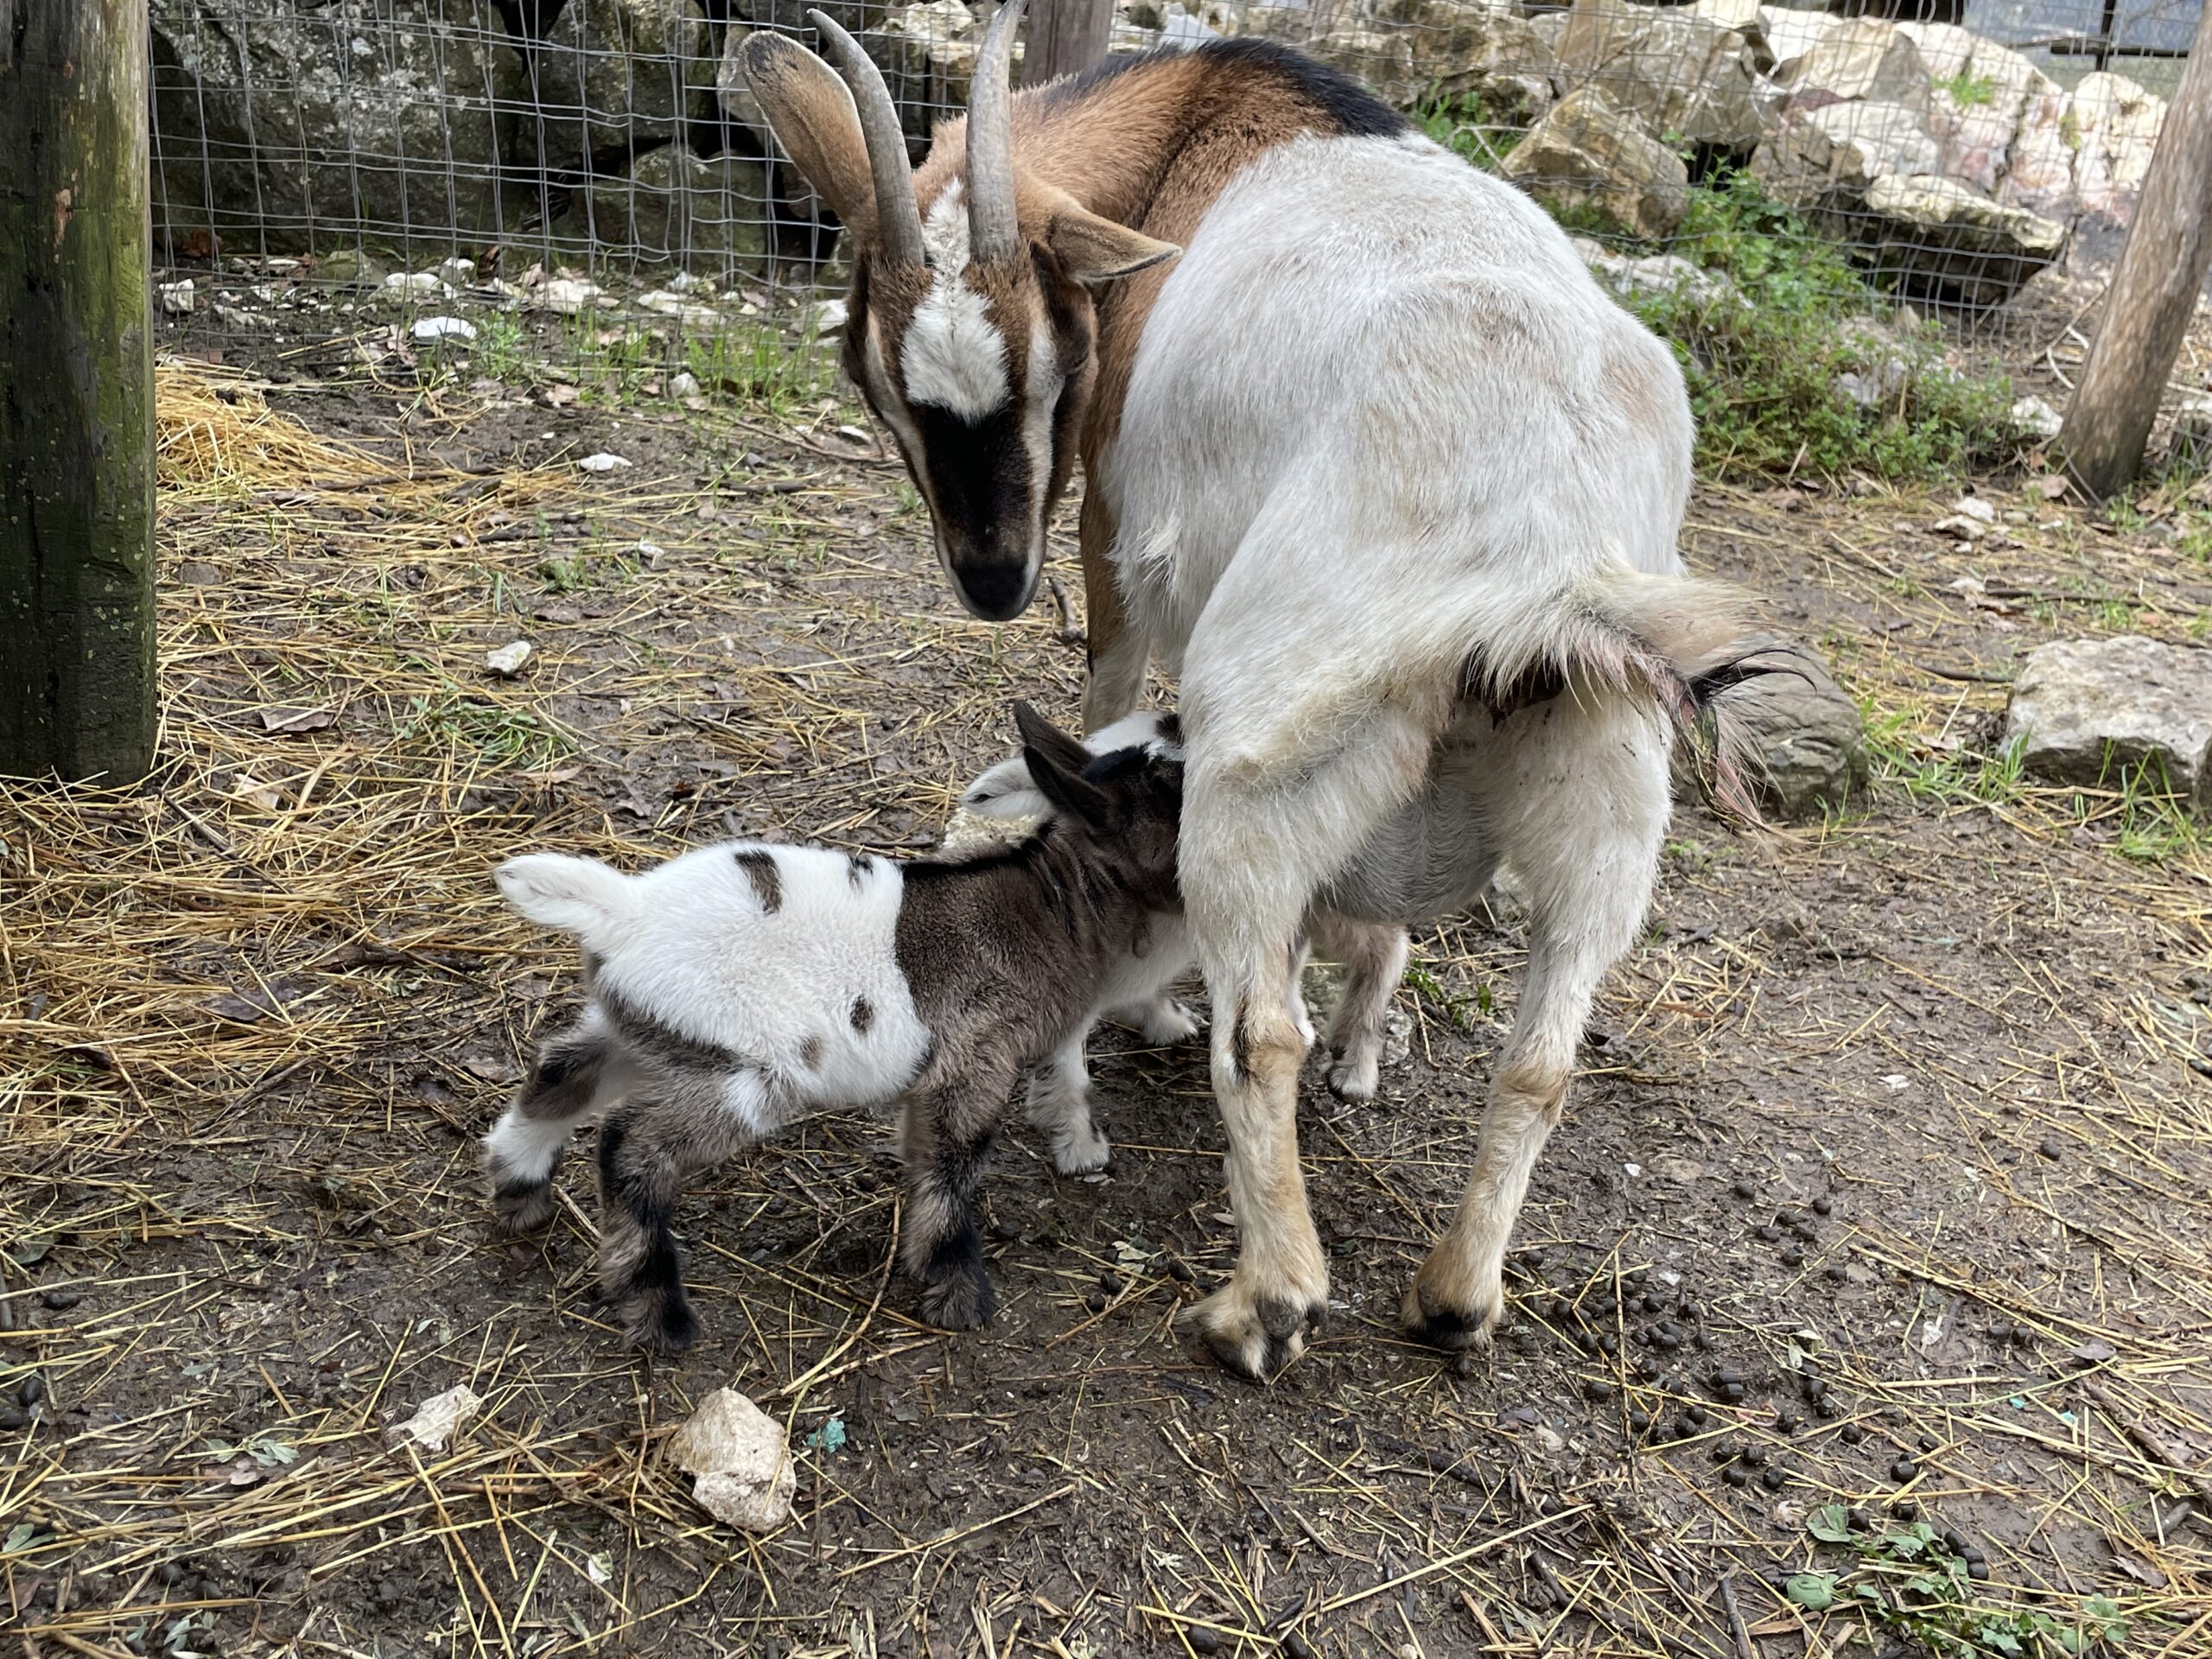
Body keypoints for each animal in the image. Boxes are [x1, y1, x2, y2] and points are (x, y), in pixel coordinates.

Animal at [743, 6, 1778, 1380]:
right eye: (874, 373)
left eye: (1051, 368)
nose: (993, 579)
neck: (1195, 131)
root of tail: (1536, 550)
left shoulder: (1118, 544)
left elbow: (1105, 706)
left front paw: (1145, 1003)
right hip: (1607, 783)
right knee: (1540, 1060)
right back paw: (1454, 1298)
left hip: (1265, 758)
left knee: (1262, 1033)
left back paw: (1259, 1304)